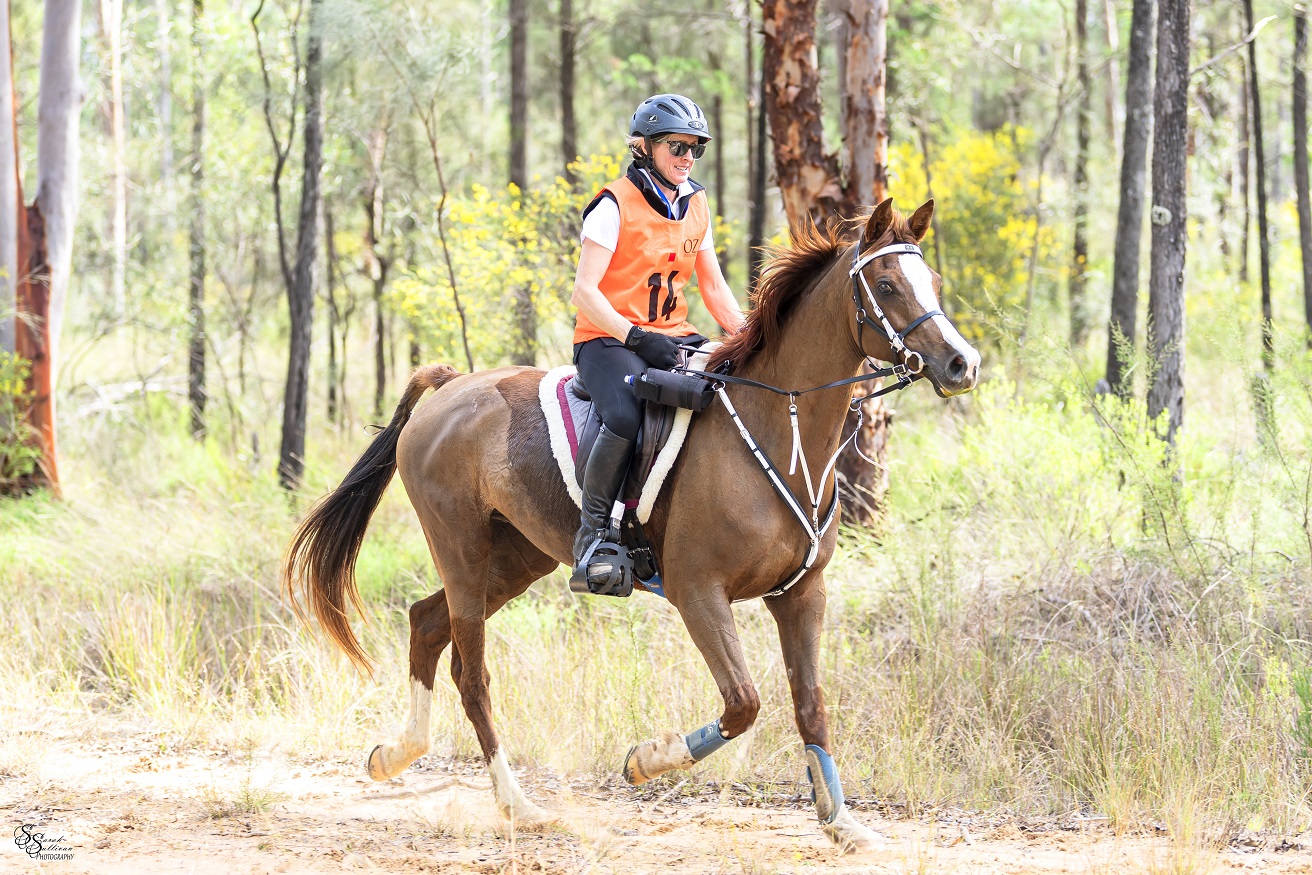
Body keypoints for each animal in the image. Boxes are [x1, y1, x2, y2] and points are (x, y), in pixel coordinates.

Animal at [282, 195, 981, 850]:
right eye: (886, 286)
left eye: (933, 281)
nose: (961, 364)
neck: (780, 429)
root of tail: (451, 386)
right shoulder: (699, 591)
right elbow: (744, 702)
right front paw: (647, 761)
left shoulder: (802, 594)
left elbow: (809, 705)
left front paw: (841, 824)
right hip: (460, 548)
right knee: (471, 674)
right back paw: (518, 805)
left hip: (517, 557)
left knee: (427, 623)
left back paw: (393, 756)